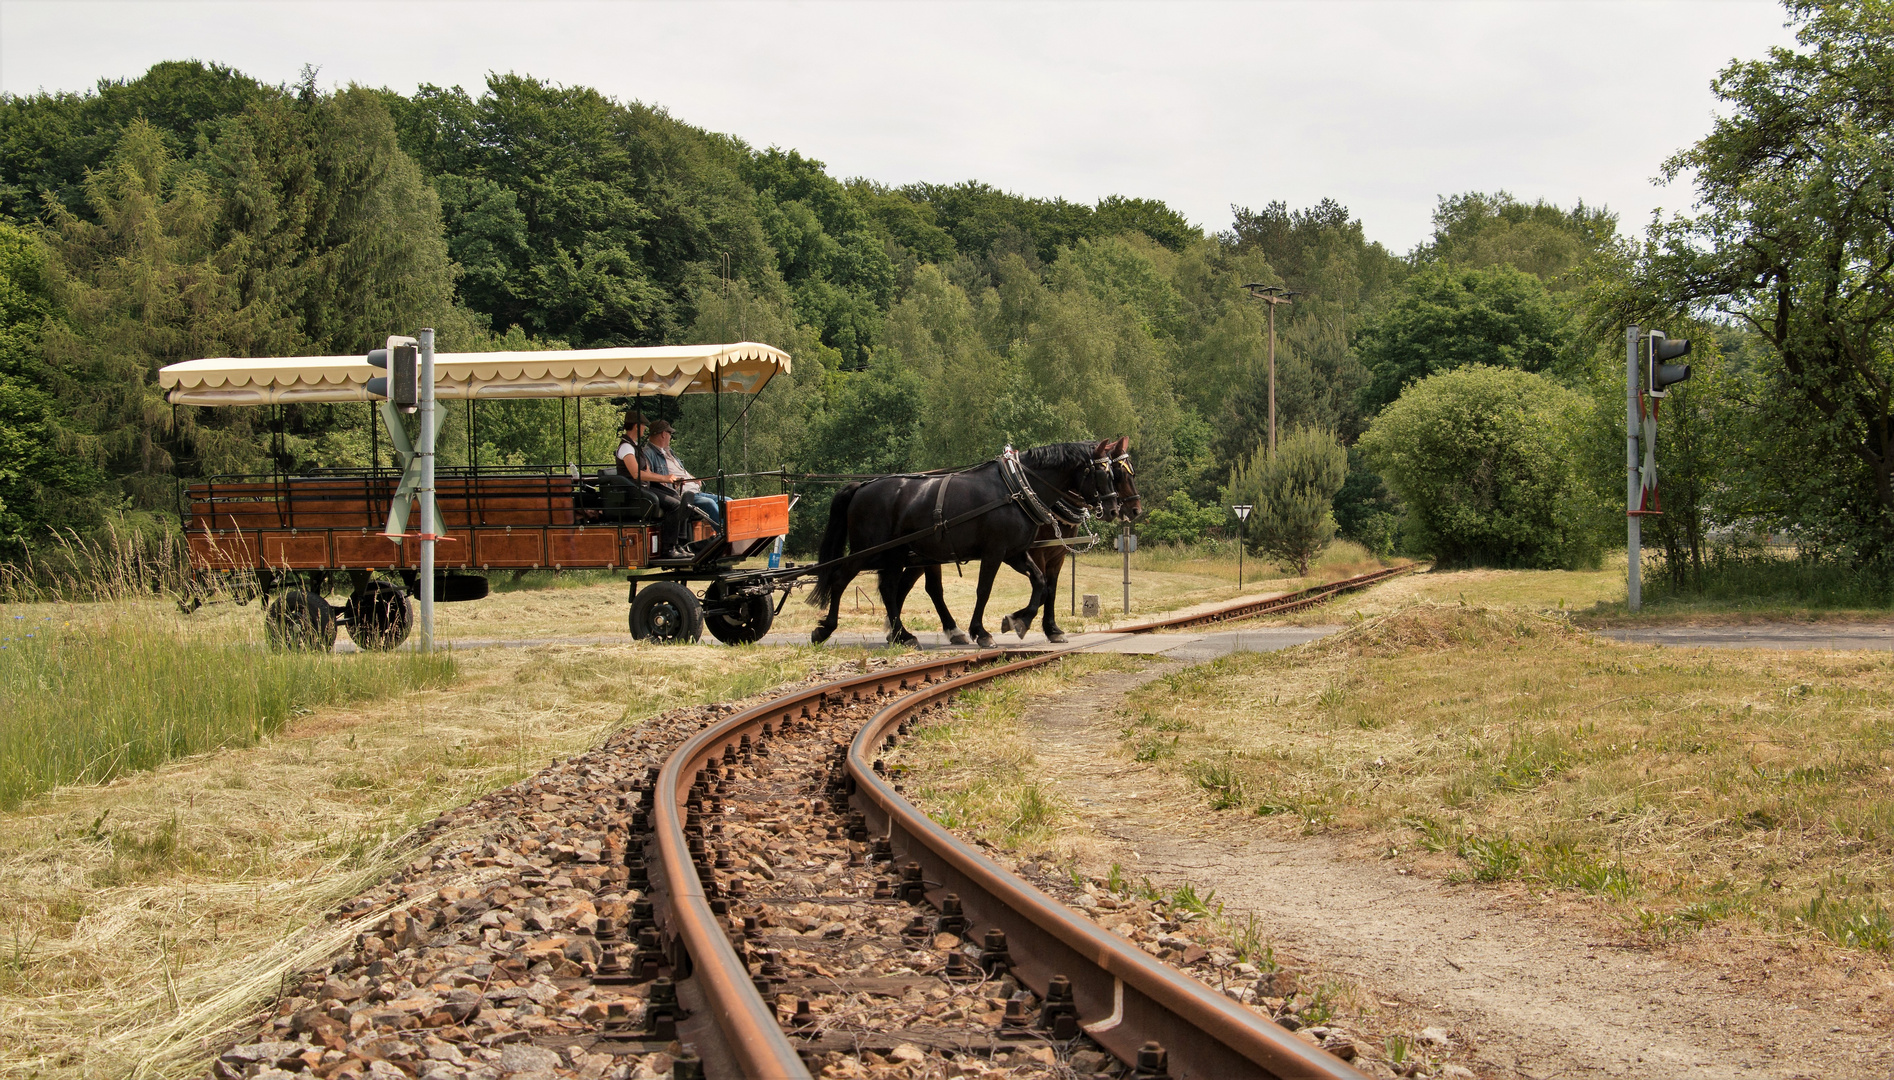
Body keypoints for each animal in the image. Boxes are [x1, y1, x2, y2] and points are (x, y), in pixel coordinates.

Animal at [803, 439, 1121, 644]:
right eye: (1102, 472)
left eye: (1114, 472)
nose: (1115, 509)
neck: (1016, 489)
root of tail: (861, 487)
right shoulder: (995, 552)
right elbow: (984, 590)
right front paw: (981, 632)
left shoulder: (1016, 553)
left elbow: (1041, 584)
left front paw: (1018, 621)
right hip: (867, 551)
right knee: (841, 579)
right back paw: (825, 630)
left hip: (895, 554)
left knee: (890, 589)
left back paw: (903, 635)